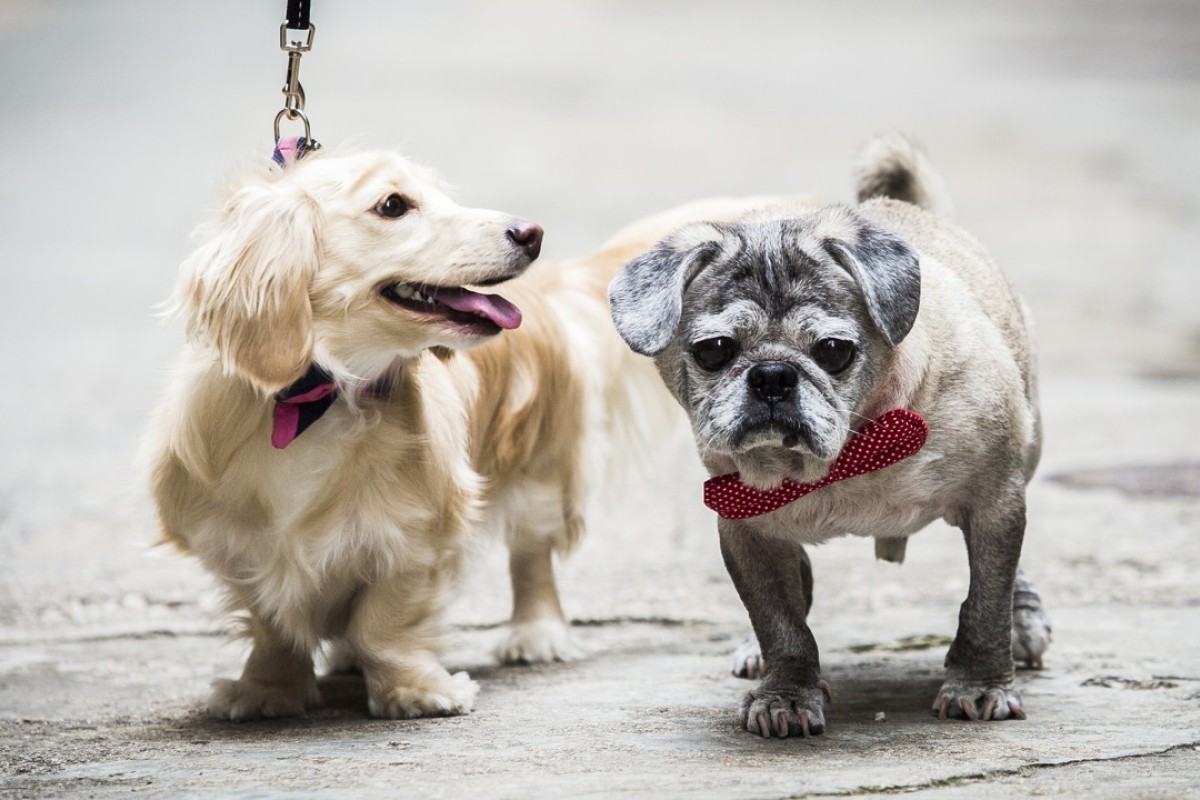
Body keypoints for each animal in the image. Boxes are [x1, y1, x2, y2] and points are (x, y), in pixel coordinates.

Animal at [147, 148, 667, 719]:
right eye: (393, 205)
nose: (531, 232)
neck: (322, 399)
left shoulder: (413, 541)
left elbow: (385, 625)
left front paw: (414, 692)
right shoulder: (241, 550)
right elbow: (274, 627)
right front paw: (267, 689)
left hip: (540, 475)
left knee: (532, 558)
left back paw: (536, 634)